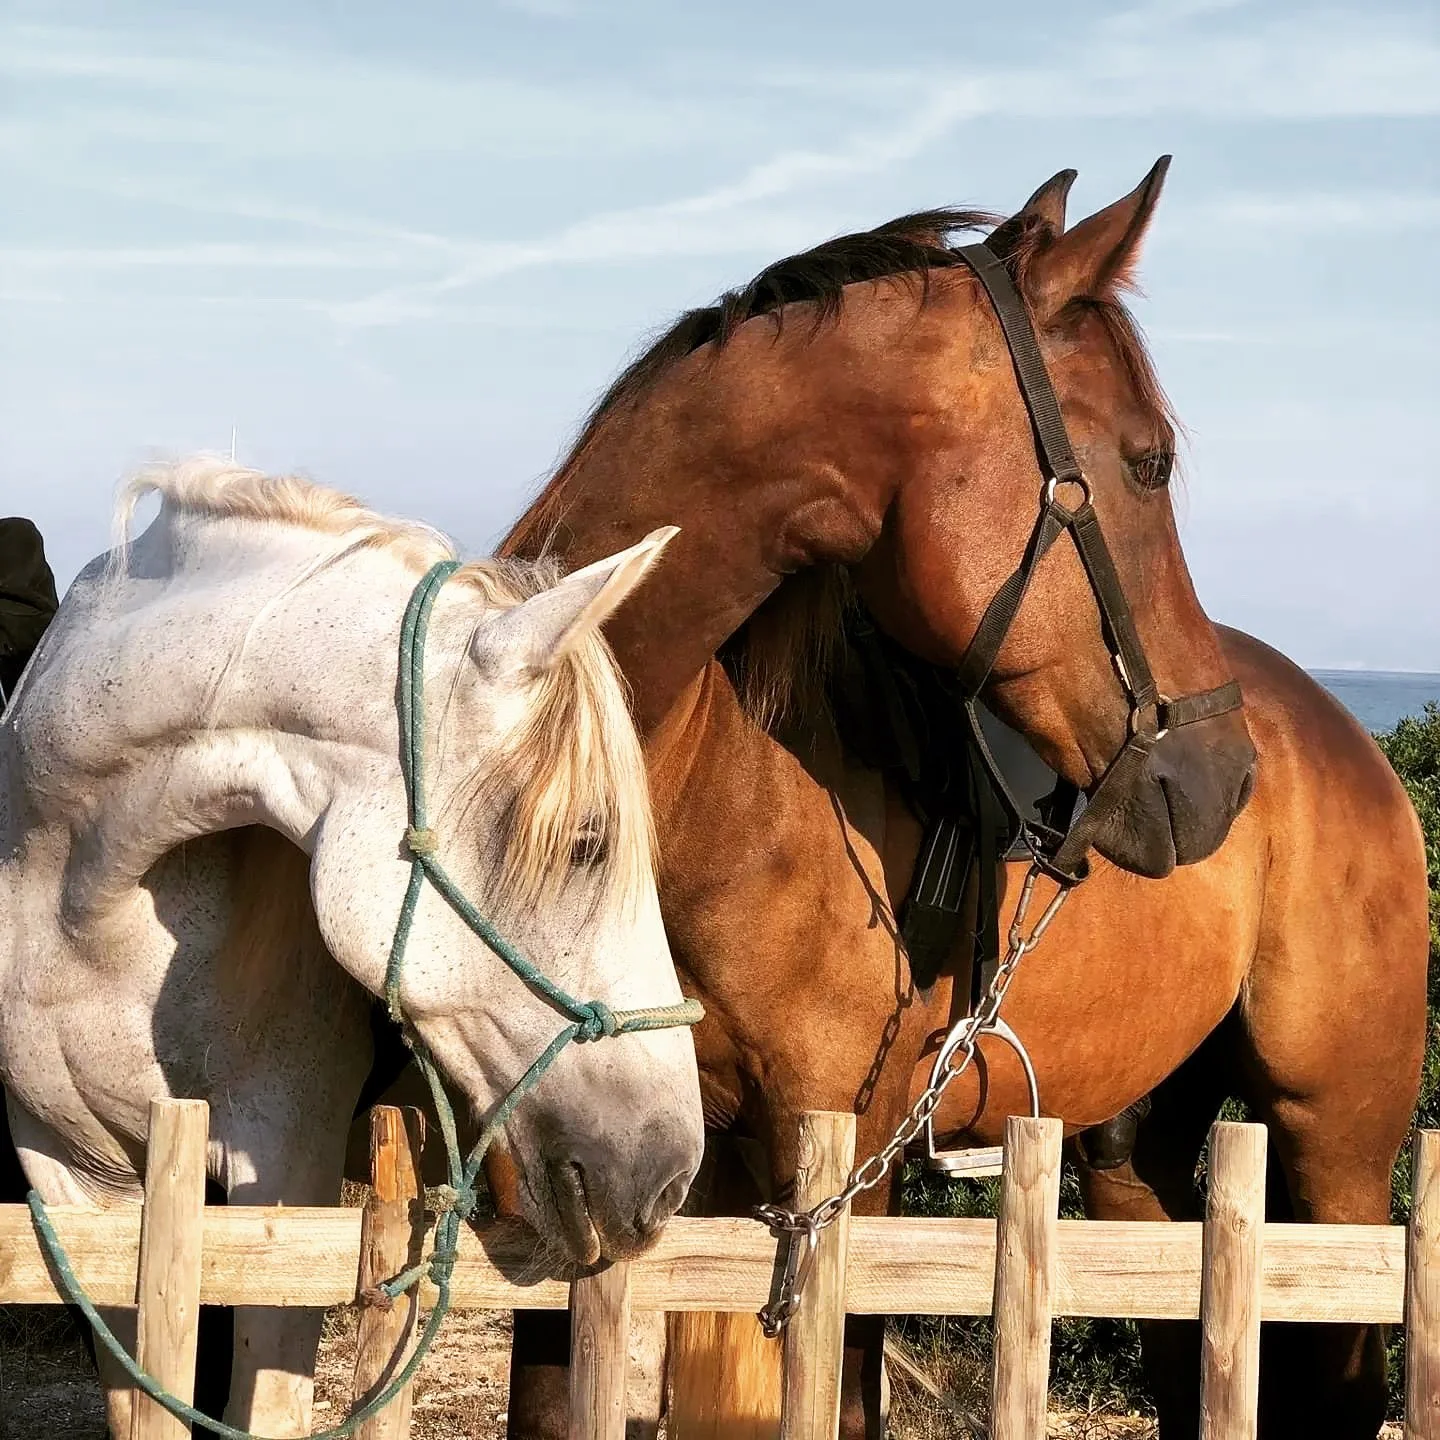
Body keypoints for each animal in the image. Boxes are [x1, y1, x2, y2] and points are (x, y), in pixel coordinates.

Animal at [497, 161, 1429, 1439]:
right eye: (1150, 460)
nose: (1220, 774)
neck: (692, 787)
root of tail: (1342, 739)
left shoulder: (843, 1172)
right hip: (1134, 1156)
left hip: (1337, 1141)